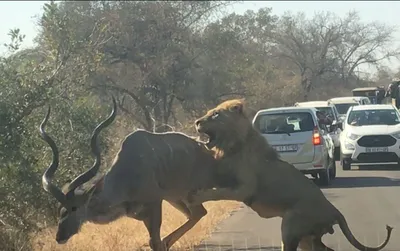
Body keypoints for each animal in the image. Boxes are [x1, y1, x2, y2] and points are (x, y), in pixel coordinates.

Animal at [39, 96, 234, 251]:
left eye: (74, 208)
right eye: (60, 210)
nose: (60, 236)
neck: (125, 176)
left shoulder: (155, 203)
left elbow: (154, 242)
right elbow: (155, 241)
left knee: (197, 213)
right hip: (176, 196)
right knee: (198, 213)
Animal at [189, 99, 392, 251]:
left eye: (215, 114)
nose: (197, 122)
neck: (233, 145)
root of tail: (333, 209)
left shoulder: (245, 188)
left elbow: (218, 192)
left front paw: (196, 196)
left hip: (290, 226)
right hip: (307, 238)